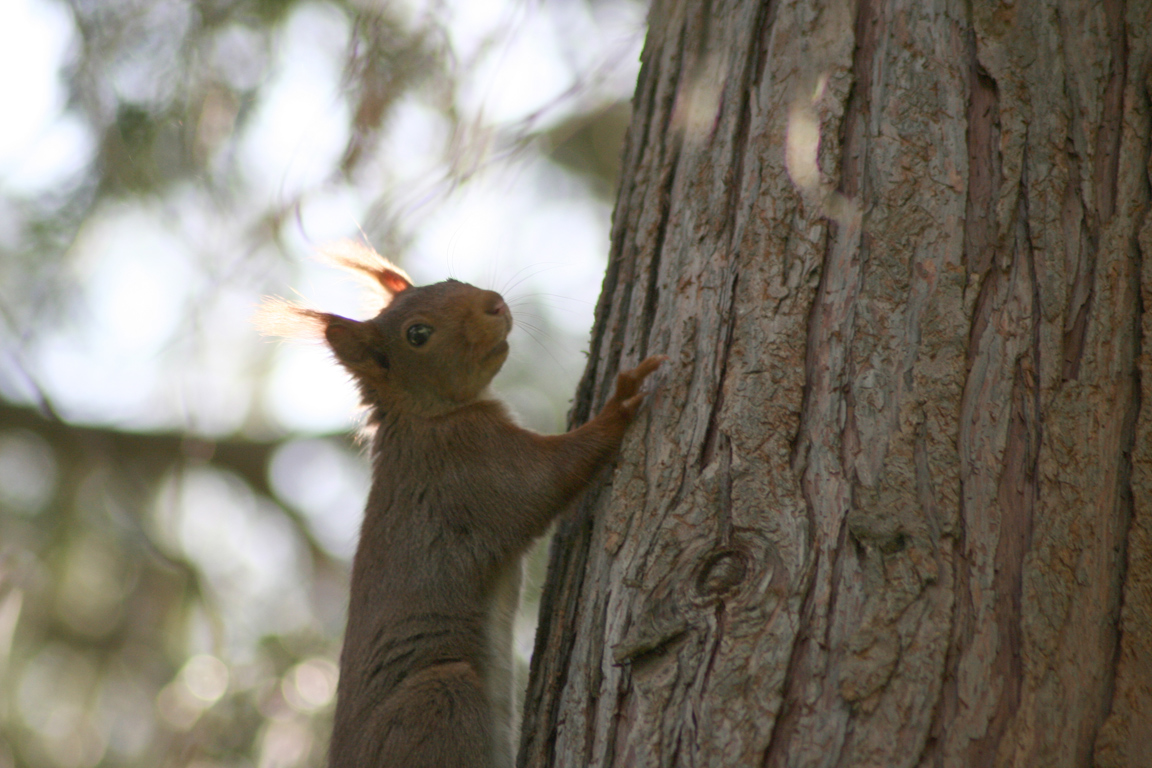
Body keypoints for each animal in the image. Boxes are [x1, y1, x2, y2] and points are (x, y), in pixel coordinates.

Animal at [256, 245, 663, 768]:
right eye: (417, 334)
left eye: (449, 280)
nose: (494, 303)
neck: (425, 417)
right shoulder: (470, 467)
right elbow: (550, 476)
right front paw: (620, 402)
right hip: (440, 697)